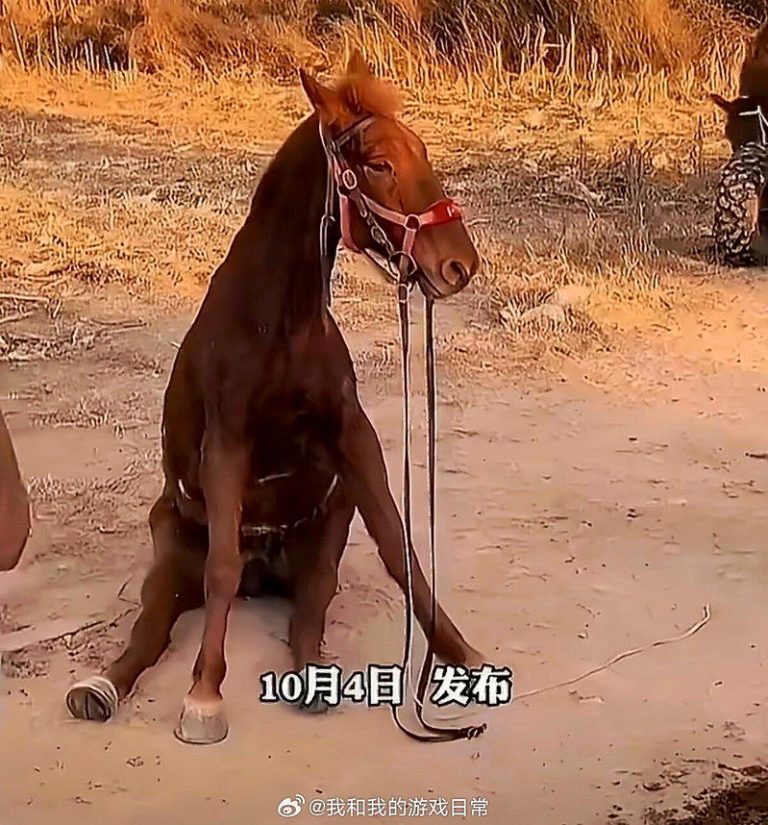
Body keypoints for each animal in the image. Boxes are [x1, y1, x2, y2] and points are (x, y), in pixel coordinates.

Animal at [65, 51, 486, 745]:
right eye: (378, 164)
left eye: (422, 150)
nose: (459, 266)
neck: (280, 322)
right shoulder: (227, 442)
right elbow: (220, 569)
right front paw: (204, 697)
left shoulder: (352, 434)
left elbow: (400, 549)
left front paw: (463, 656)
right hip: (170, 551)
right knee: (157, 621)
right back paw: (99, 687)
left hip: (323, 542)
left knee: (307, 614)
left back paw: (314, 679)